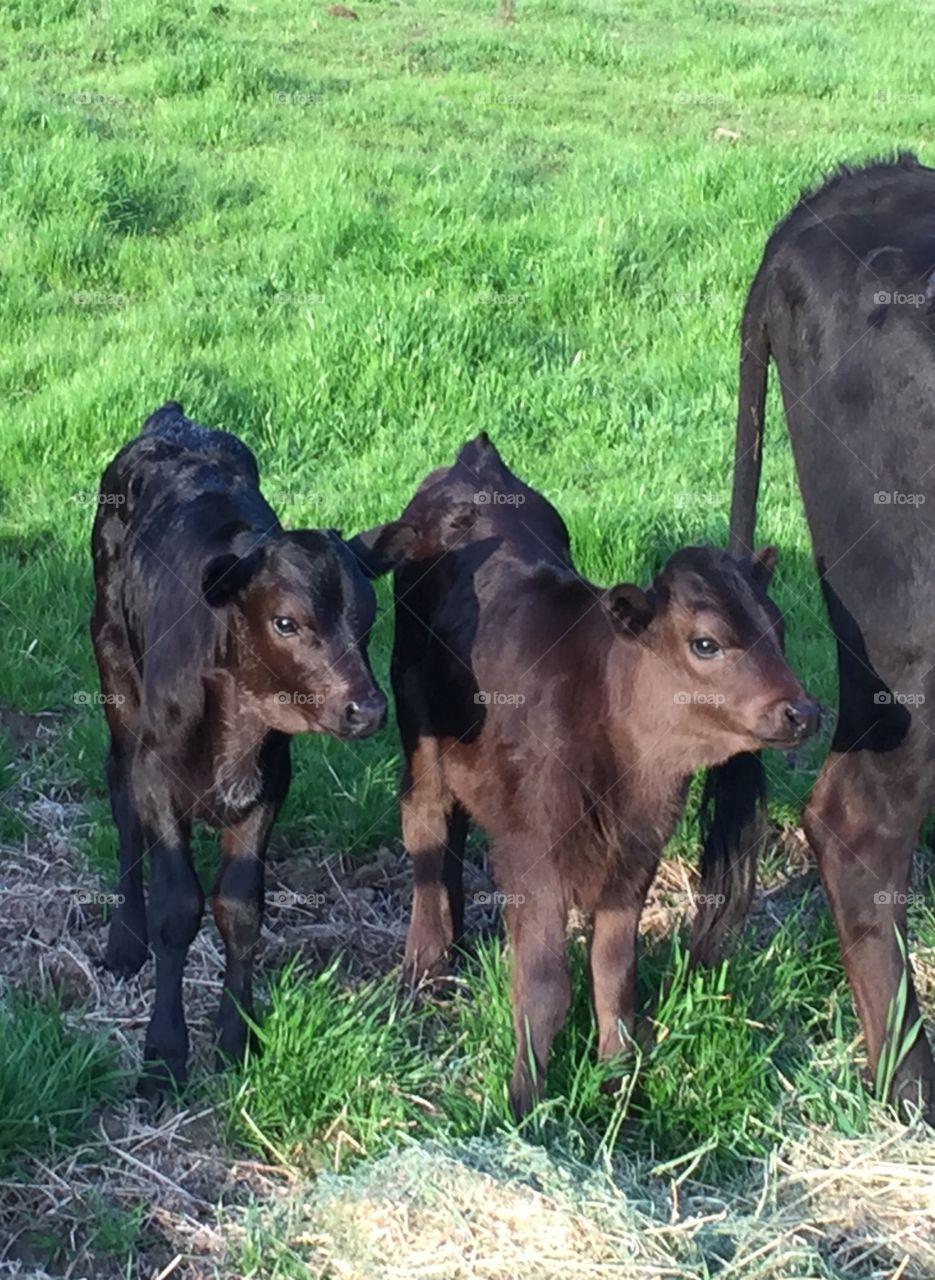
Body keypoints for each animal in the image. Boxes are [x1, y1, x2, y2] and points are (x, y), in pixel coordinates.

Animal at [91, 401, 407, 1097]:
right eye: (286, 622)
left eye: (368, 618)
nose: (368, 709)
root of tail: (173, 424)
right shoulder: (157, 774)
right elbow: (177, 906)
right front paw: (163, 1055)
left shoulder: (269, 785)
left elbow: (239, 907)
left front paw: (237, 1040)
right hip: (114, 675)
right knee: (119, 799)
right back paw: (124, 940)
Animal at [358, 435, 818, 1118]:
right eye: (705, 643)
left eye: (779, 629)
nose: (803, 712)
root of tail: (474, 461)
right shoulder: (531, 857)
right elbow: (545, 986)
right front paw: (525, 1102)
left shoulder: (635, 860)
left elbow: (614, 977)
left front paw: (618, 1082)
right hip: (418, 728)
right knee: (427, 830)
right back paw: (424, 968)